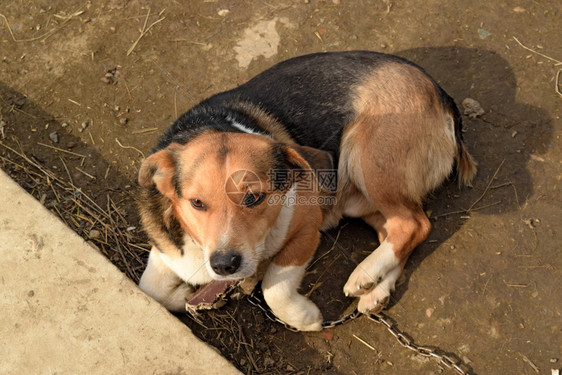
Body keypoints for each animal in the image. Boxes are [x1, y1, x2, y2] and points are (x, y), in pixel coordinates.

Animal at [136, 50, 472, 332]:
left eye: (254, 197)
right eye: (196, 203)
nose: (224, 264)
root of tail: (441, 94)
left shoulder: (306, 230)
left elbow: (274, 286)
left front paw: (306, 318)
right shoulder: (166, 253)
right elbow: (150, 289)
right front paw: (186, 294)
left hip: (367, 158)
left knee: (416, 224)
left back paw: (363, 275)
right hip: (360, 200)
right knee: (401, 230)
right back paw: (375, 290)